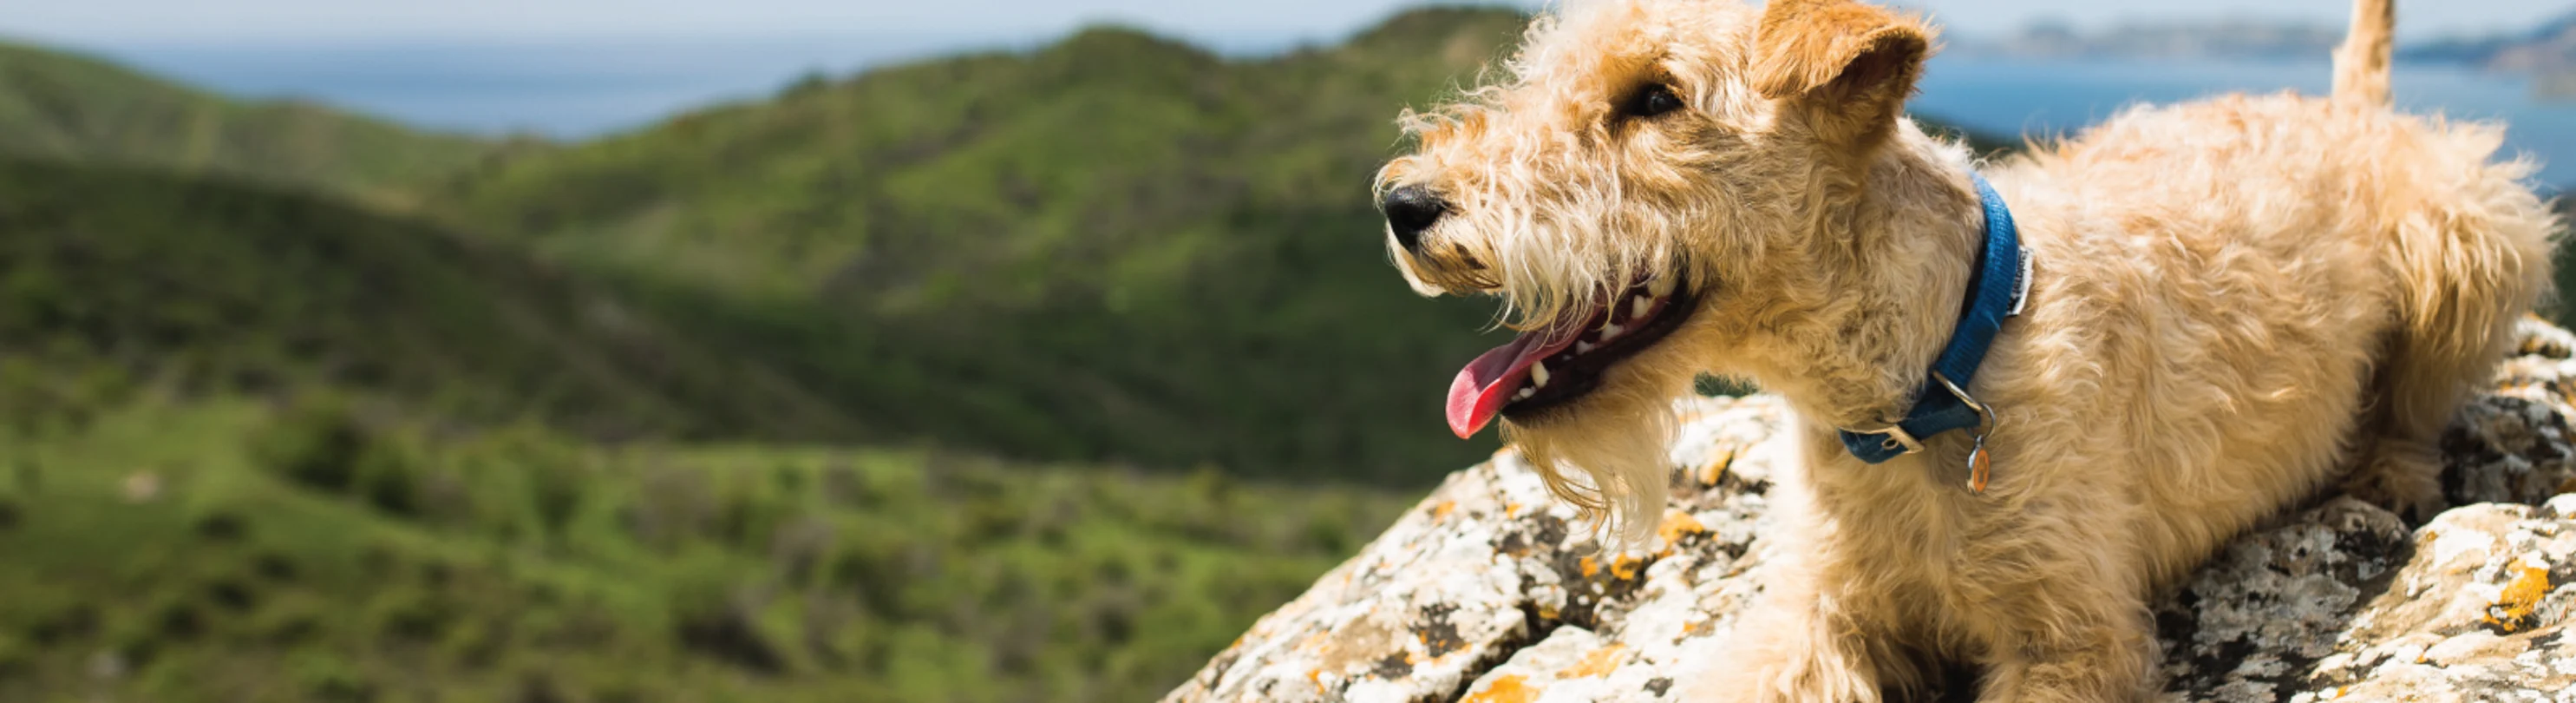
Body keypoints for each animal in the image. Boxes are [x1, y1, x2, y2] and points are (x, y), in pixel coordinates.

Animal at [1380, 0, 2545, 695]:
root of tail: (2351, 111)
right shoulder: (1817, 614)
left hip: (2473, 232)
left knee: (2423, 401)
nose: (1402, 203)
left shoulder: (2069, 639)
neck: (1916, 384)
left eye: (1656, 98)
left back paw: (2389, 472)